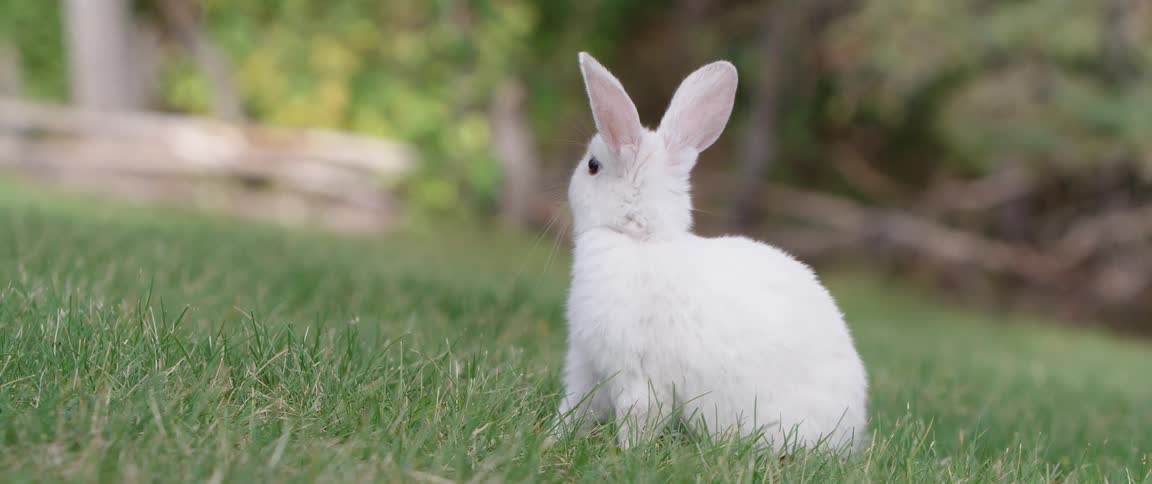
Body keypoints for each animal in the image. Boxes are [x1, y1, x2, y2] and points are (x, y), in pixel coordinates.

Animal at [555, 52, 869, 453]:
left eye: (593, 166)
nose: (569, 184)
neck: (641, 238)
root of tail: (850, 434)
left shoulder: (637, 374)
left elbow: (638, 415)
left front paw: (627, 453)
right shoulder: (587, 363)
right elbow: (576, 406)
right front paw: (553, 438)